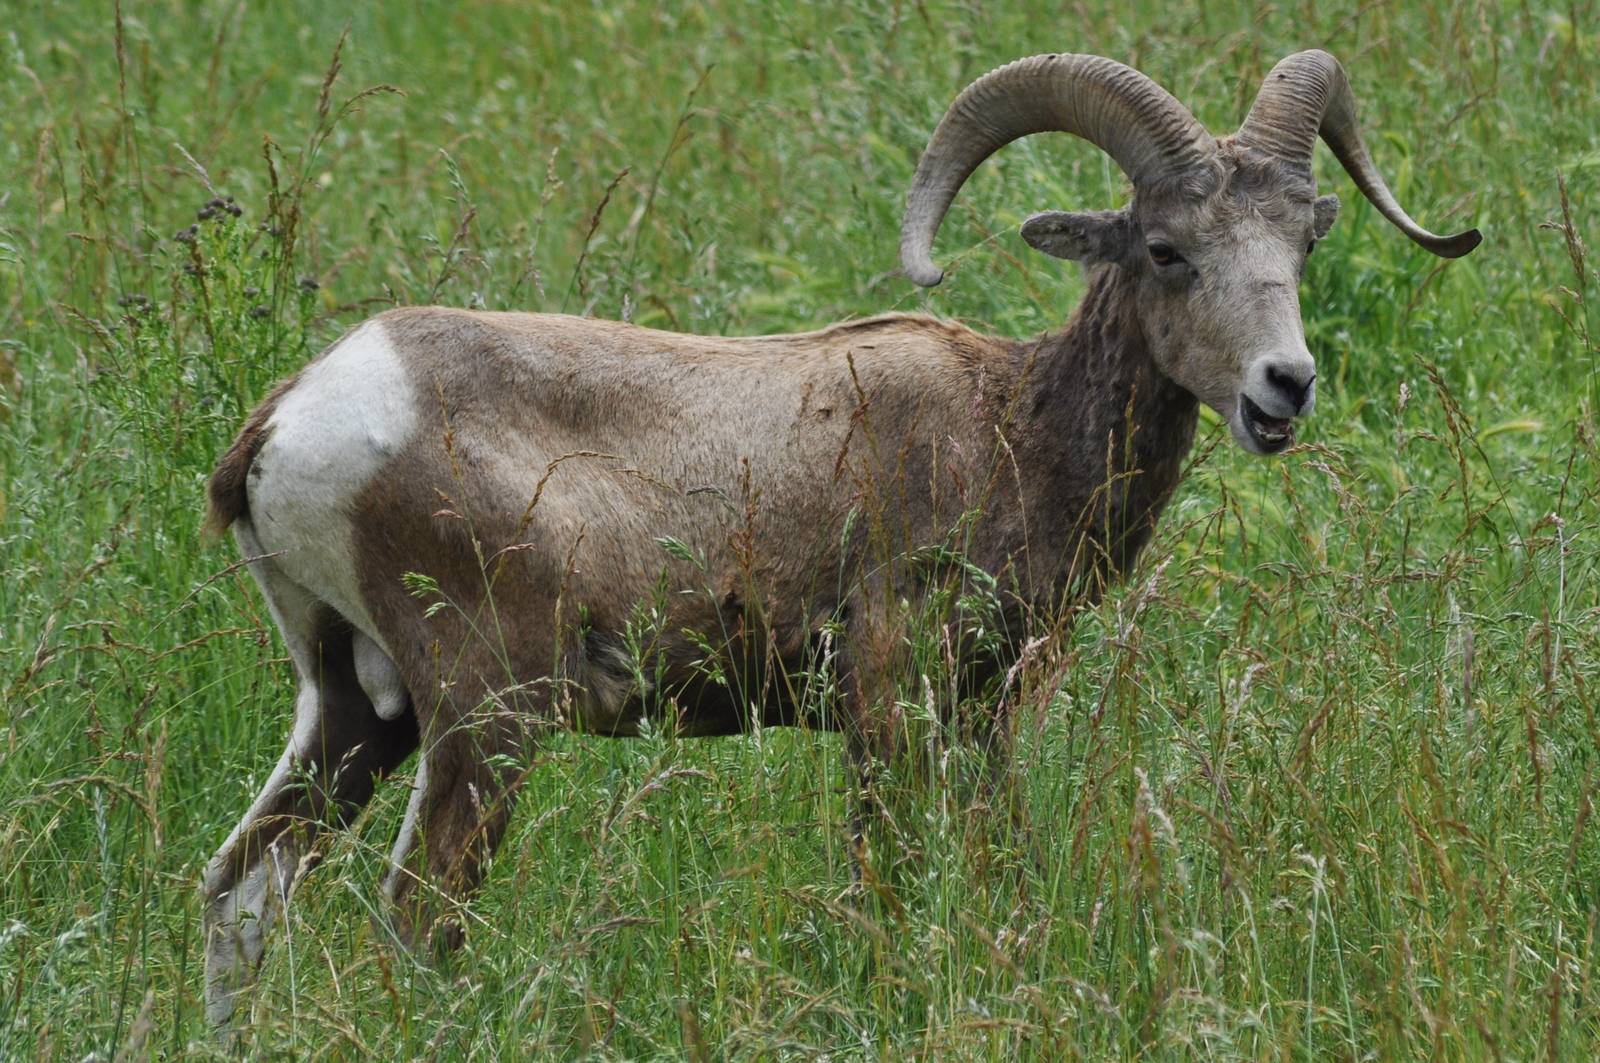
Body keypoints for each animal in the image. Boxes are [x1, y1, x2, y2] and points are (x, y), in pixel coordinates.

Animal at [200, 49, 1479, 1026]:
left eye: (1299, 247)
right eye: (1167, 250)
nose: (1283, 387)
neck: (1012, 430)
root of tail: (296, 413)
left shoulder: (978, 715)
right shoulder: (886, 699)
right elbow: (889, 885)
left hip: (356, 713)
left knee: (241, 891)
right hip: (482, 720)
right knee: (417, 915)